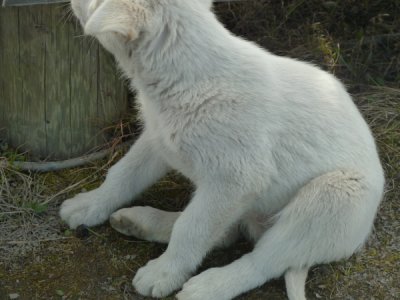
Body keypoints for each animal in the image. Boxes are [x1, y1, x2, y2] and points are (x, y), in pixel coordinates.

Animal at [61, 1, 384, 298]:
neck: (187, 78)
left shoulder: (234, 181)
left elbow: (192, 229)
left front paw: (165, 273)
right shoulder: (158, 140)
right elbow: (122, 176)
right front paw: (91, 204)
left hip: (332, 197)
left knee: (264, 259)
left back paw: (211, 285)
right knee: (226, 233)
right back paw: (139, 222)